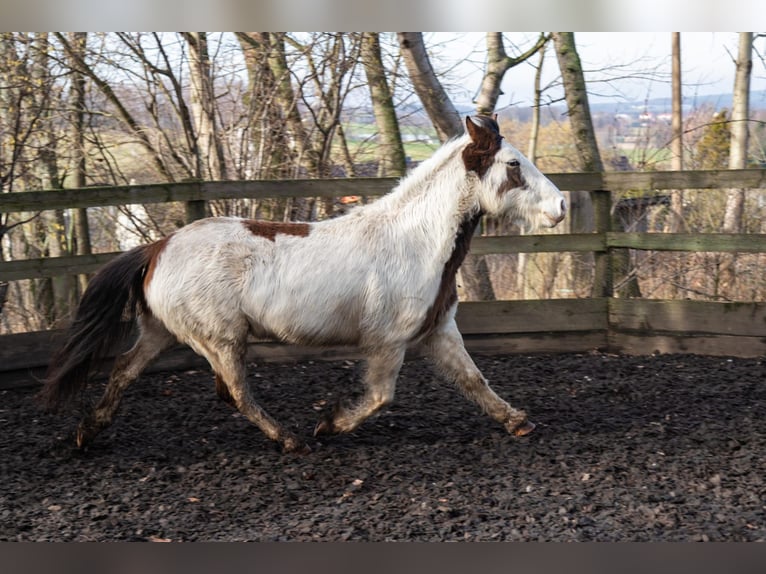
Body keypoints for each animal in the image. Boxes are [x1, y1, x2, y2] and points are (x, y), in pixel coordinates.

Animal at [39, 115, 568, 454]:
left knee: (124, 371)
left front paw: (518, 422)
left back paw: (87, 433)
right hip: (220, 339)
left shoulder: (438, 332)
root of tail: (157, 247)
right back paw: (289, 439)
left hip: (161, 332)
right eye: (513, 164)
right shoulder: (387, 342)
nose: (561, 205)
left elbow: (473, 380)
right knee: (234, 393)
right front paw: (328, 425)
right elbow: (380, 396)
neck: (414, 240)